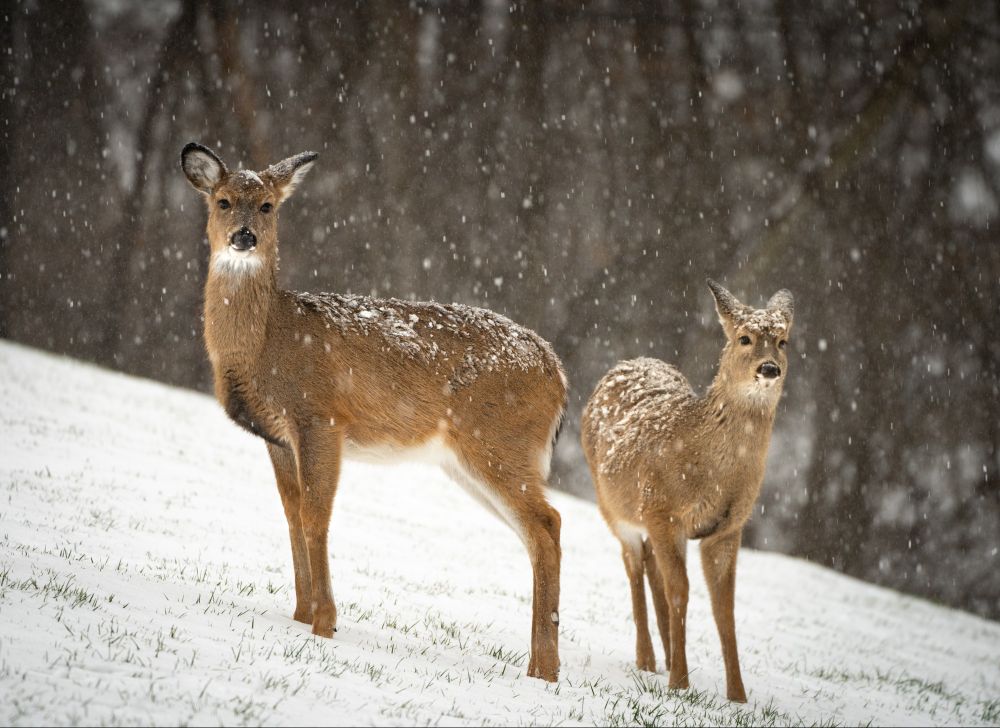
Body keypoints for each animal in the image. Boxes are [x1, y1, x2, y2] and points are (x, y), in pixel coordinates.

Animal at [180, 142, 567, 681]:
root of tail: (559, 374)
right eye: (223, 201)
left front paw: (324, 623)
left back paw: (545, 671)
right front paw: (299, 614)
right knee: (539, 532)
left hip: (499, 441)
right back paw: (539, 667)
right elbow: (291, 512)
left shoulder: (320, 418)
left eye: (267, 206)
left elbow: (316, 514)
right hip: (470, 460)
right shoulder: (277, 436)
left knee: (547, 525)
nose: (244, 236)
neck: (269, 341)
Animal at [580, 279, 794, 702]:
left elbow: (724, 608)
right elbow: (681, 590)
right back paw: (648, 659)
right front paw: (680, 682)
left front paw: (738, 695)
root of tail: (628, 361)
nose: (769, 368)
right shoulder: (664, 511)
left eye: (783, 340)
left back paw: (663, 655)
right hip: (613, 506)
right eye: (744, 338)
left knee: (651, 568)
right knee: (633, 565)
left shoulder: (728, 528)